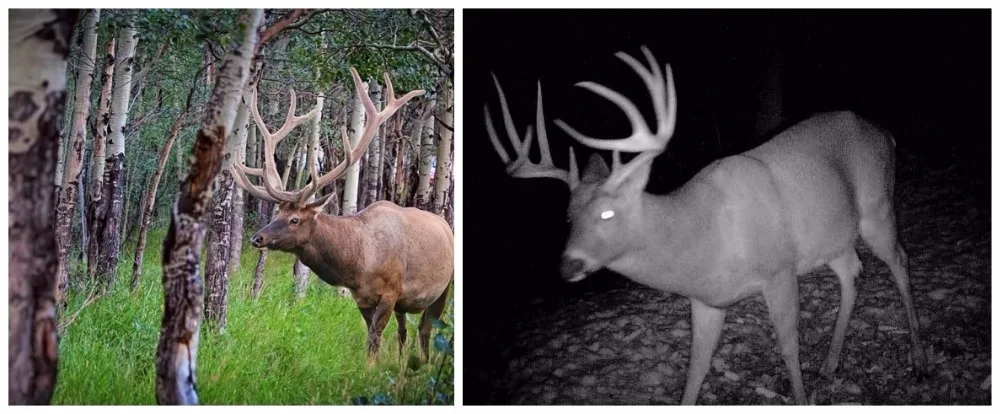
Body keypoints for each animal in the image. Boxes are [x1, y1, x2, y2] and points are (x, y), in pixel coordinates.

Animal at [232, 68, 454, 361]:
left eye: (294, 219)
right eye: (276, 213)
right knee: (405, 331)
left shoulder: (391, 291)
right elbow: (372, 337)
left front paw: (371, 368)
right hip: (406, 303)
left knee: (426, 329)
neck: (359, 264)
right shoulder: (363, 297)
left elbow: (375, 338)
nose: (257, 238)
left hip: (444, 287)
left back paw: (424, 362)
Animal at [485, 46, 925, 404]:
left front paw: (802, 397)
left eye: (608, 214)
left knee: (900, 261)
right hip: (830, 237)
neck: (706, 237)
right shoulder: (707, 300)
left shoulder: (779, 270)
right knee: (853, 272)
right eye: (568, 217)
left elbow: (788, 347)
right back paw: (831, 363)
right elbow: (695, 368)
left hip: (877, 206)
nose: (568, 266)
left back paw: (919, 356)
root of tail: (885, 133)